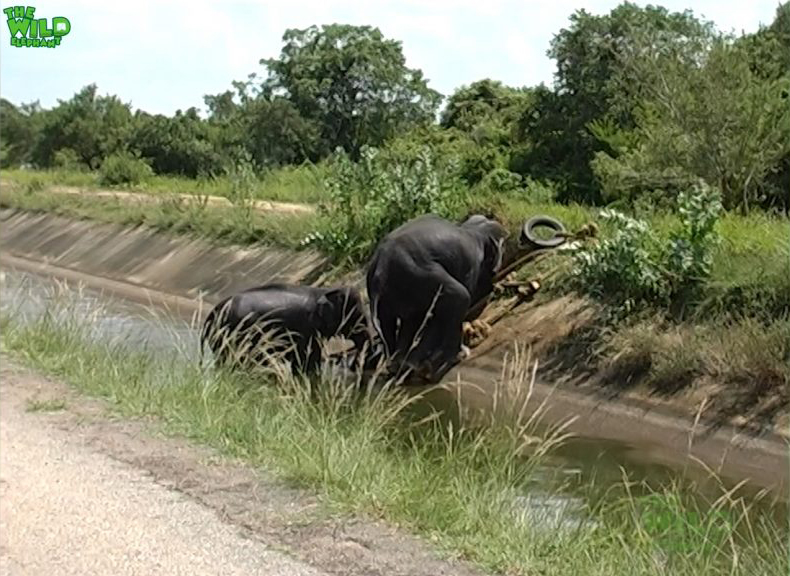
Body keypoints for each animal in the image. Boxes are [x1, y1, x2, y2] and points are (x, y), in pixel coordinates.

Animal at [198, 282, 372, 374]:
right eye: (356, 315)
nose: (354, 366)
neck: (323, 290)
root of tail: (211, 314)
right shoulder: (306, 329)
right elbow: (307, 361)